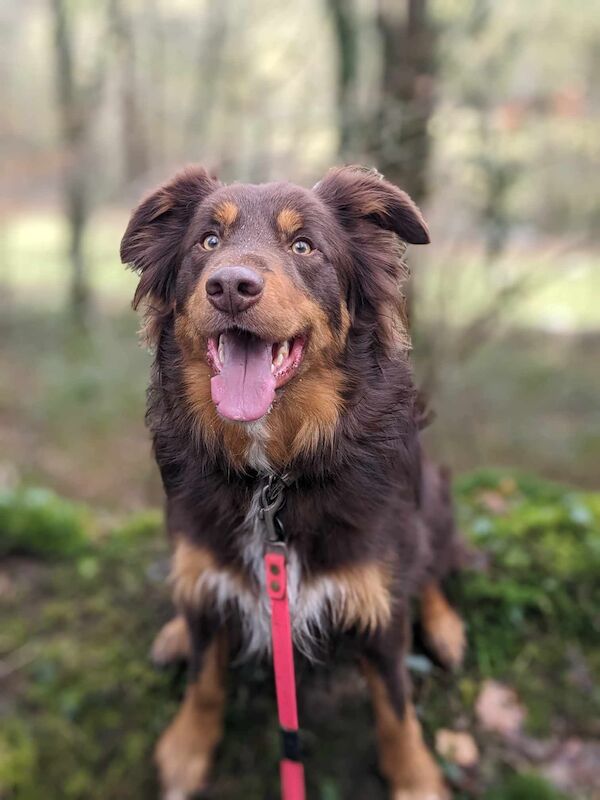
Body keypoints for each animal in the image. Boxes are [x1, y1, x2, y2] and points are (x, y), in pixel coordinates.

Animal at [119, 166, 466, 800]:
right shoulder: (206, 560)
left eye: (303, 247)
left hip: (431, 487)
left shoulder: (377, 592)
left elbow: (395, 704)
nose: (231, 286)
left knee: (433, 562)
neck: (272, 475)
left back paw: (446, 625)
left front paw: (416, 778)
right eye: (208, 241)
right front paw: (186, 751)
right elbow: (205, 676)